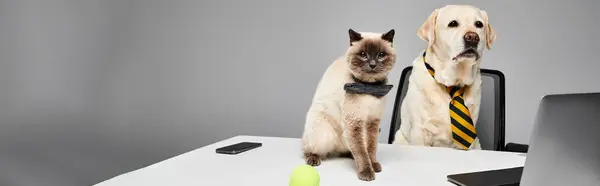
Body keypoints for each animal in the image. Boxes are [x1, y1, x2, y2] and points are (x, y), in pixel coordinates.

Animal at [302, 29, 396, 182]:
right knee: (307, 146)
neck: (368, 87)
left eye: (381, 55)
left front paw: (373, 165)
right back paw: (313, 159)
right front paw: (367, 172)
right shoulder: (354, 121)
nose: (372, 64)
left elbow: (370, 148)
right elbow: (361, 152)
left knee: (350, 150)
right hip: (324, 133)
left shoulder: (373, 122)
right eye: (363, 55)